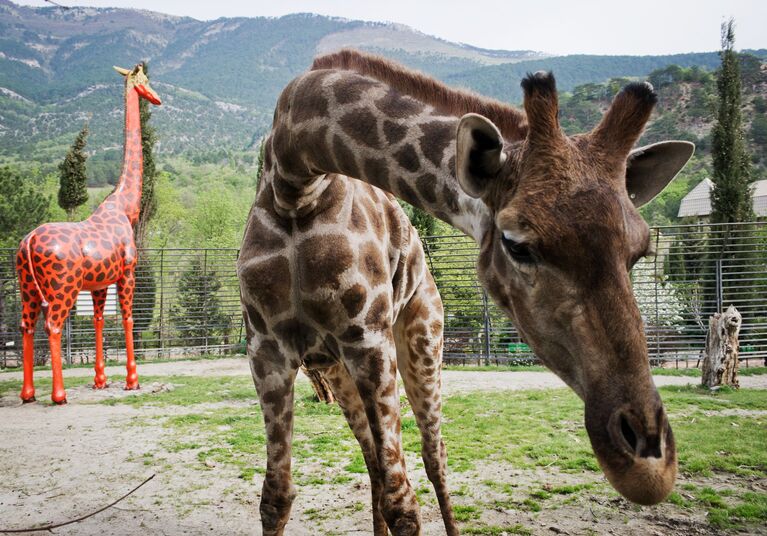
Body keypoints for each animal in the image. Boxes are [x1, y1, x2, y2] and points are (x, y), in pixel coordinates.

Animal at [15, 62, 160, 404]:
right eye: (144, 80)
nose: (157, 98)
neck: (125, 206)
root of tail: (28, 242)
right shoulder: (127, 272)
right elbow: (128, 318)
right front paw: (132, 381)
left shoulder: (98, 284)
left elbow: (98, 321)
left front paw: (101, 381)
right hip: (62, 287)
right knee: (52, 326)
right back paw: (58, 395)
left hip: (27, 287)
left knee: (26, 326)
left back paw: (28, 394)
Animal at [240, 48, 696, 532]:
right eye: (517, 244)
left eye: (641, 251)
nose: (649, 469)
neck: (295, 180)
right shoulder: (266, 350)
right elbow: (277, 496)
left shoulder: (367, 339)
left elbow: (403, 501)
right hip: (337, 368)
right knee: (375, 462)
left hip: (420, 342)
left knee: (430, 454)